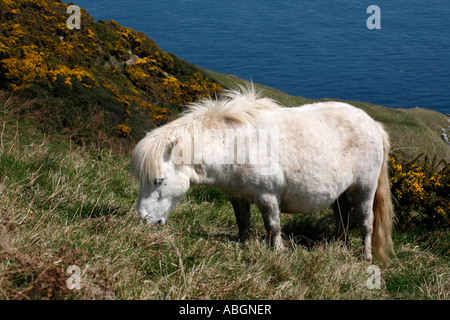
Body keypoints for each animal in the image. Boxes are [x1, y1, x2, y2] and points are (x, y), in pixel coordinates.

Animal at [131, 85, 394, 262]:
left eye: (158, 181)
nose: (144, 220)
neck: (235, 145)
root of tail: (374, 125)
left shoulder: (267, 195)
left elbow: (273, 226)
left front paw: (277, 252)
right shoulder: (237, 196)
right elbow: (243, 223)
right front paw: (245, 246)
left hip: (364, 187)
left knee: (366, 221)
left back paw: (366, 257)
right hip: (340, 192)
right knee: (343, 216)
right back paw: (340, 246)